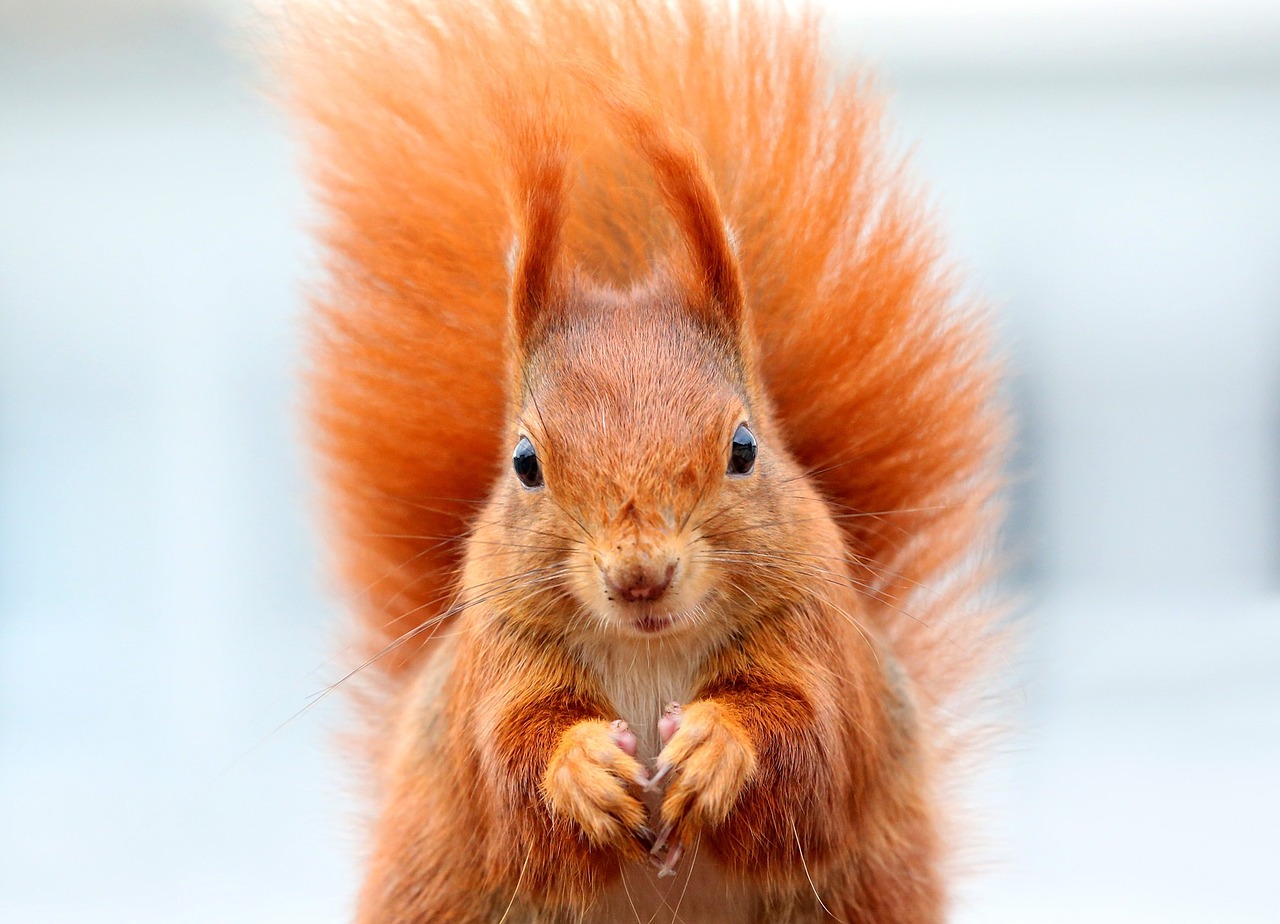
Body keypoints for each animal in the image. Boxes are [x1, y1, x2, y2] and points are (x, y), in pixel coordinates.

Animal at [273, 0, 1005, 921]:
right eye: (524, 461)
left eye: (743, 448)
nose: (640, 576)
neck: (651, 649)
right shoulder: (496, 662)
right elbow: (509, 765)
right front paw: (580, 768)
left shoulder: (822, 642)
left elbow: (813, 747)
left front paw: (719, 746)